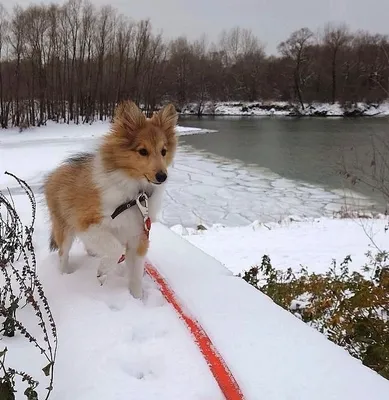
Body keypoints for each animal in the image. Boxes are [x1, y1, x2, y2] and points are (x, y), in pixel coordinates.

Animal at [43, 101, 177, 298]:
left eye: (164, 151)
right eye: (142, 151)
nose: (162, 176)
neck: (135, 195)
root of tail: (55, 173)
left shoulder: (139, 236)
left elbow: (136, 274)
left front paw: (136, 299)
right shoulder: (88, 223)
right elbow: (115, 248)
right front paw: (103, 271)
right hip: (64, 227)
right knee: (63, 253)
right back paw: (64, 276)